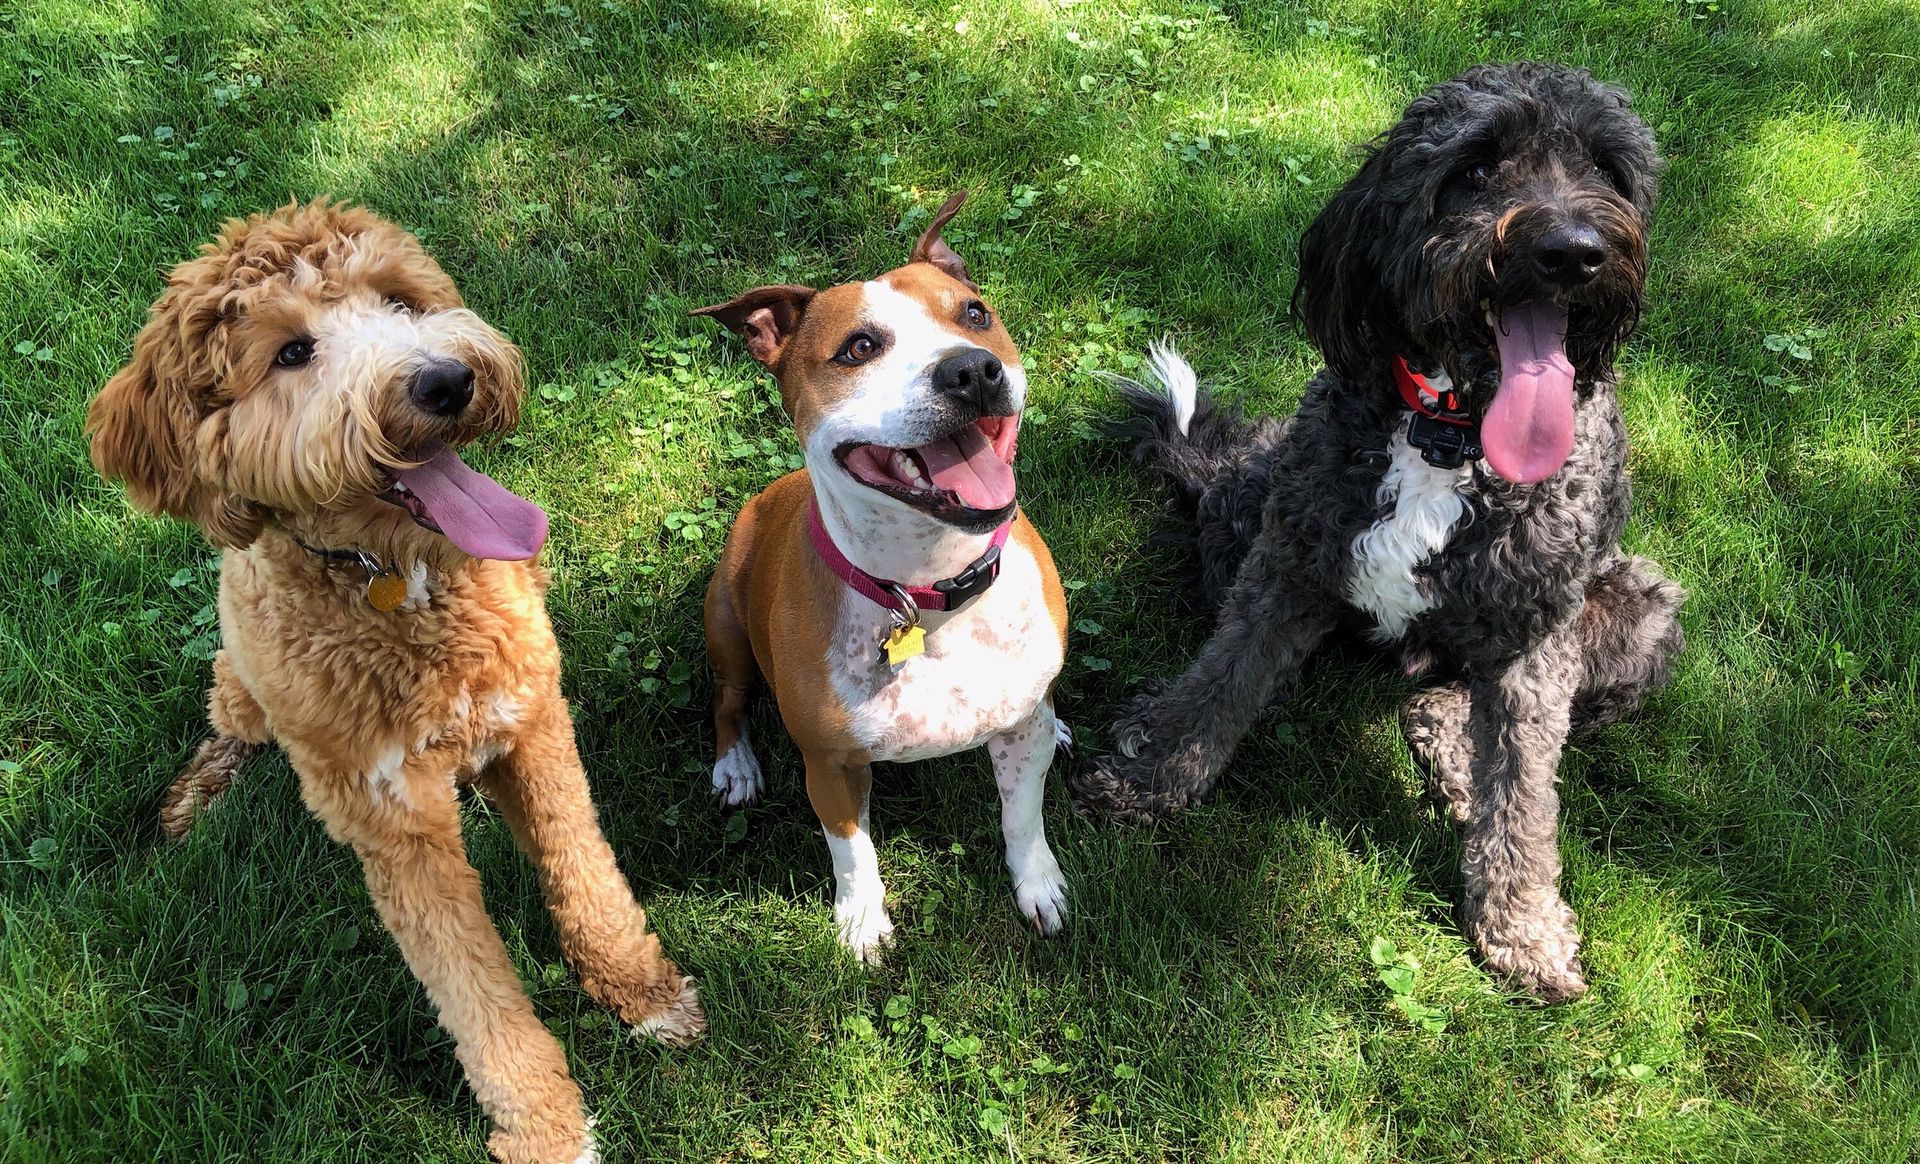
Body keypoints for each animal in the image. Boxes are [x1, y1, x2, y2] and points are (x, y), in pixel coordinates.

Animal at [88, 201, 703, 1164]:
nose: (446, 381)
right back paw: (197, 797)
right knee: (227, 723)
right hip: (243, 683)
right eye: (291, 352)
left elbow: (585, 872)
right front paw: (544, 1126)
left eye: (400, 301)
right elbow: (474, 993)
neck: (397, 585)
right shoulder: (392, 820)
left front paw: (638, 991)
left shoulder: (534, 724)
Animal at [692, 191, 1070, 961]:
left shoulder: (1021, 733)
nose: (972, 369)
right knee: (727, 700)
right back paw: (735, 765)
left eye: (975, 314)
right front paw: (862, 922)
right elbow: (853, 854)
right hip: (726, 620)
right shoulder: (831, 764)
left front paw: (1038, 884)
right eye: (860, 348)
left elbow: (1023, 819)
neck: (934, 590)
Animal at [1071, 63, 1685, 1002]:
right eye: (1476, 166)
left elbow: (1527, 792)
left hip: (1641, 607)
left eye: (1606, 170)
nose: (1574, 250)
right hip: (1247, 498)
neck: (1449, 431)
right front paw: (1150, 774)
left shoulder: (1537, 633)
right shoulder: (1287, 562)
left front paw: (1522, 930)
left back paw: (1454, 750)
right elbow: (1222, 677)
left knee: (1476, 706)